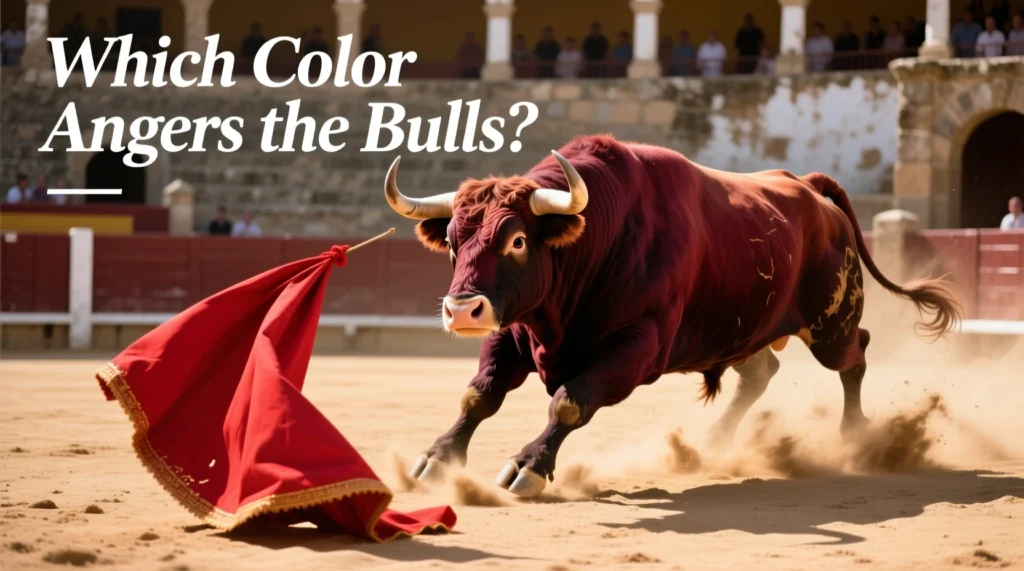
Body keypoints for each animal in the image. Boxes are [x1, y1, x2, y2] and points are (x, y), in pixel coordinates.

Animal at [384, 135, 961, 498]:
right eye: (452, 240)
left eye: (519, 240)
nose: (462, 310)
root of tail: (811, 189)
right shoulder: (514, 332)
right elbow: (479, 395)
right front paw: (436, 459)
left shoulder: (638, 345)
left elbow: (571, 400)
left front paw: (528, 466)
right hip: (743, 331)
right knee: (761, 373)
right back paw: (712, 443)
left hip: (829, 323)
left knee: (855, 354)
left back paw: (856, 437)